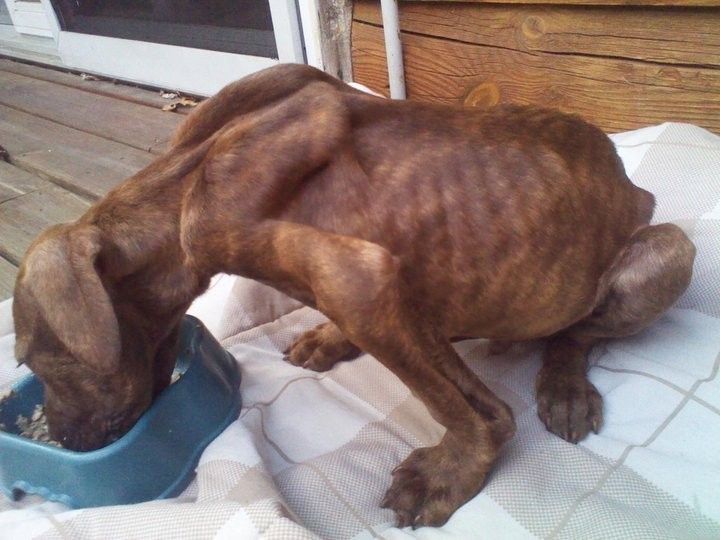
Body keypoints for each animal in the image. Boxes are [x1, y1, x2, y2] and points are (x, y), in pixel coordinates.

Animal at [12, 64, 695, 528]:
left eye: (32, 358)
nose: (65, 441)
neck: (177, 189)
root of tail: (635, 191)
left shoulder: (359, 281)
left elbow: (471, 410)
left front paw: (450, 474)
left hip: (668, 252)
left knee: (576, 331)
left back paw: (564, 384)